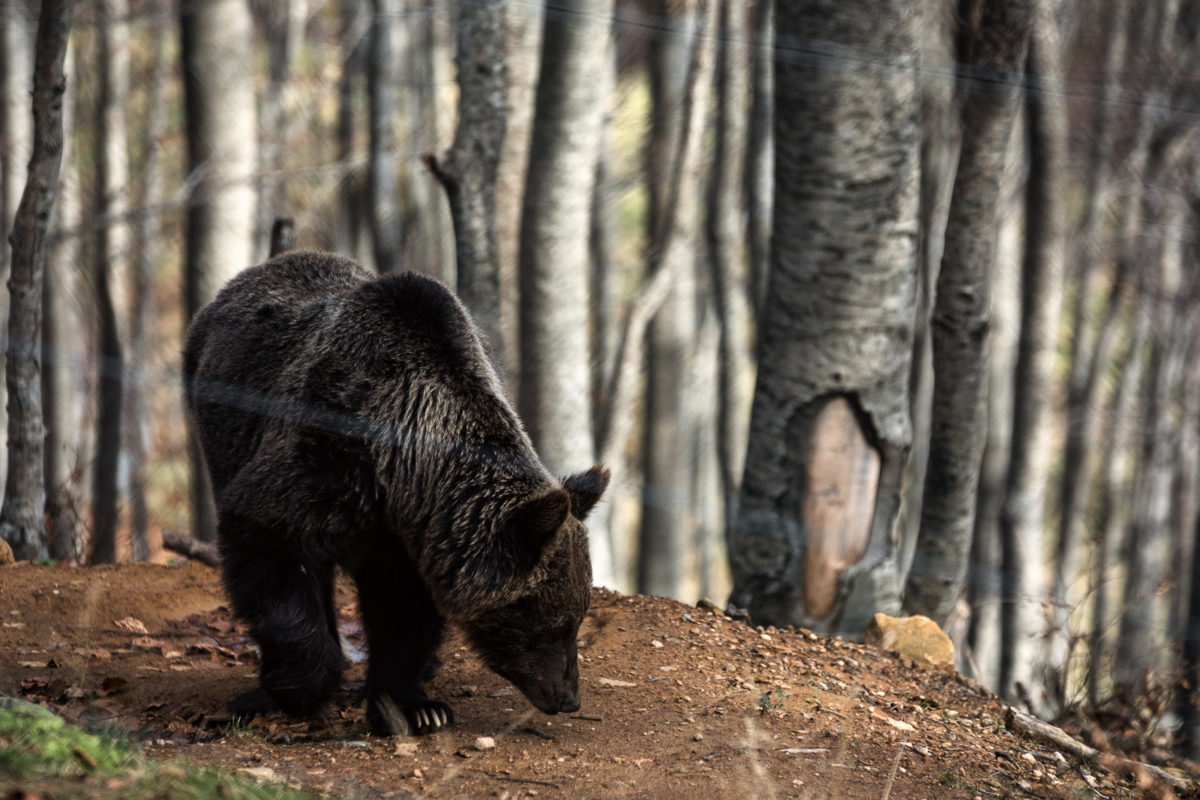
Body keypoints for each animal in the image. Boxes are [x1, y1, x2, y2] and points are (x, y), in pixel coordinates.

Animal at [183, 253, 609, 734]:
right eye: (555, 623)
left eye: (576, 618)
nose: (568, 697)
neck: (403, 469)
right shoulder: (322, 463)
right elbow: (270, 546)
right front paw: (300, 688)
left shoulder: (417, 537)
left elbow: (401, 609)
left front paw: (416, 708)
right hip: (220, 428)